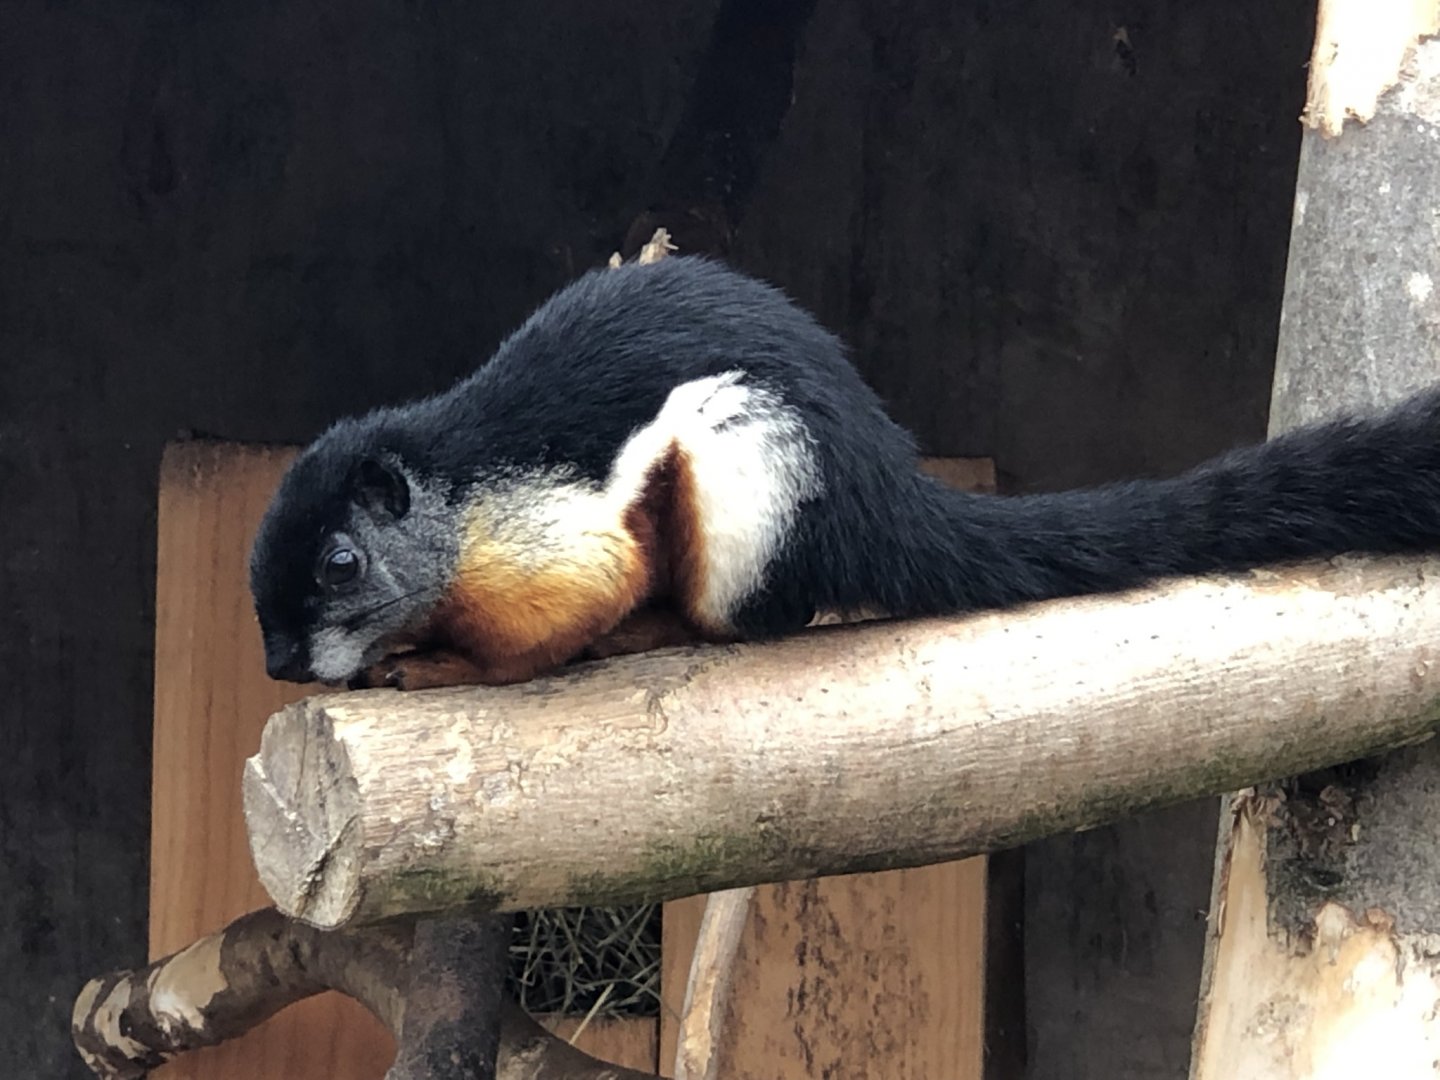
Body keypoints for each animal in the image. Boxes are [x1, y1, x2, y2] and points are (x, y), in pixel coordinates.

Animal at [250, 254, 1440, 691]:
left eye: (343, 564)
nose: (279, 667)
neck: (454, 508)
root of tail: (887, 495)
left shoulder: (548, 543)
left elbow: (551, 626)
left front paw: (439, 666)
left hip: (749, 472)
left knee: (756, 618)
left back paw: (663, 632)